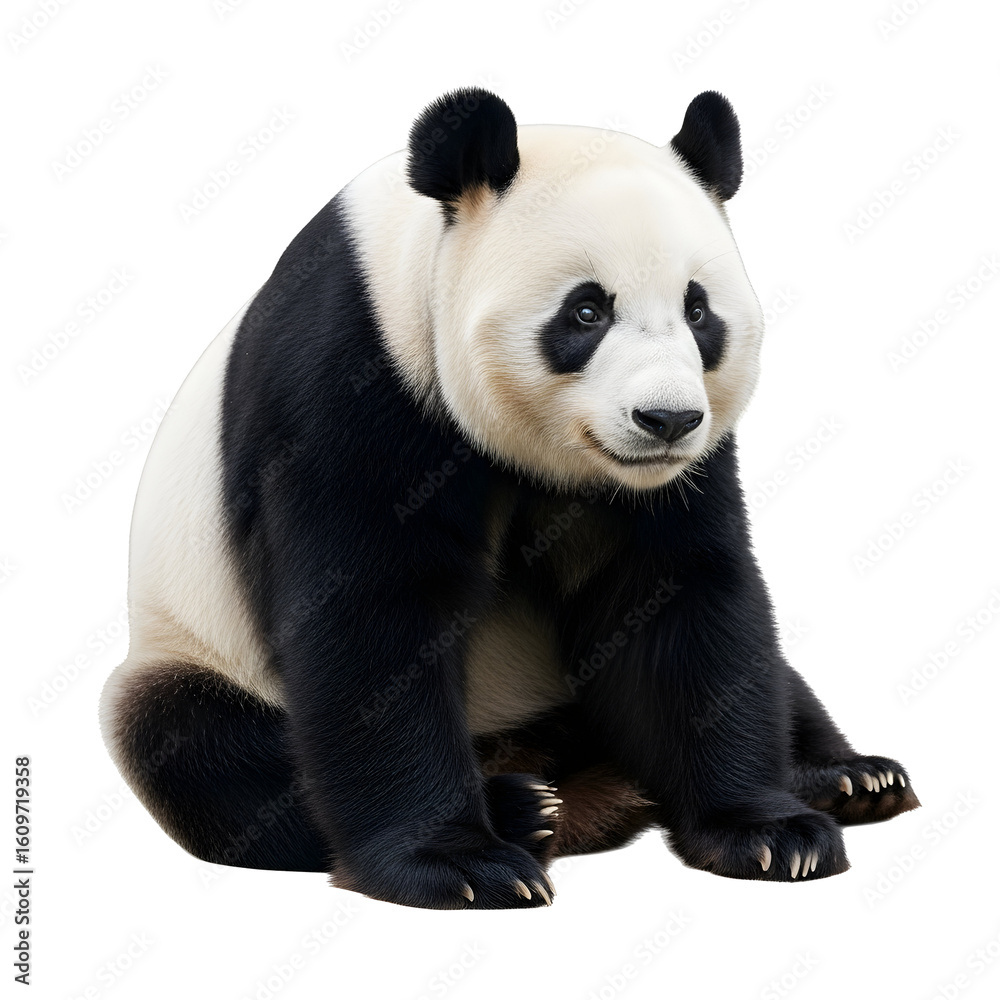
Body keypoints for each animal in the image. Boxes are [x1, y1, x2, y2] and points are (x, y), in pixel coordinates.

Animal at [99, 88, 920, 910]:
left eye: (698, 311)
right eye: (586, 311)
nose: (667, 421)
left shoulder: (669, 482)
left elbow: (680, 603)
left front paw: (770, 831)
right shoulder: (346, 381)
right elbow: (370, 617)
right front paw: (457, 865)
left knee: (775, 671)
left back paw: (849, 778)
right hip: (193, 648)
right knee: (197, 746)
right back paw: (524, 806)